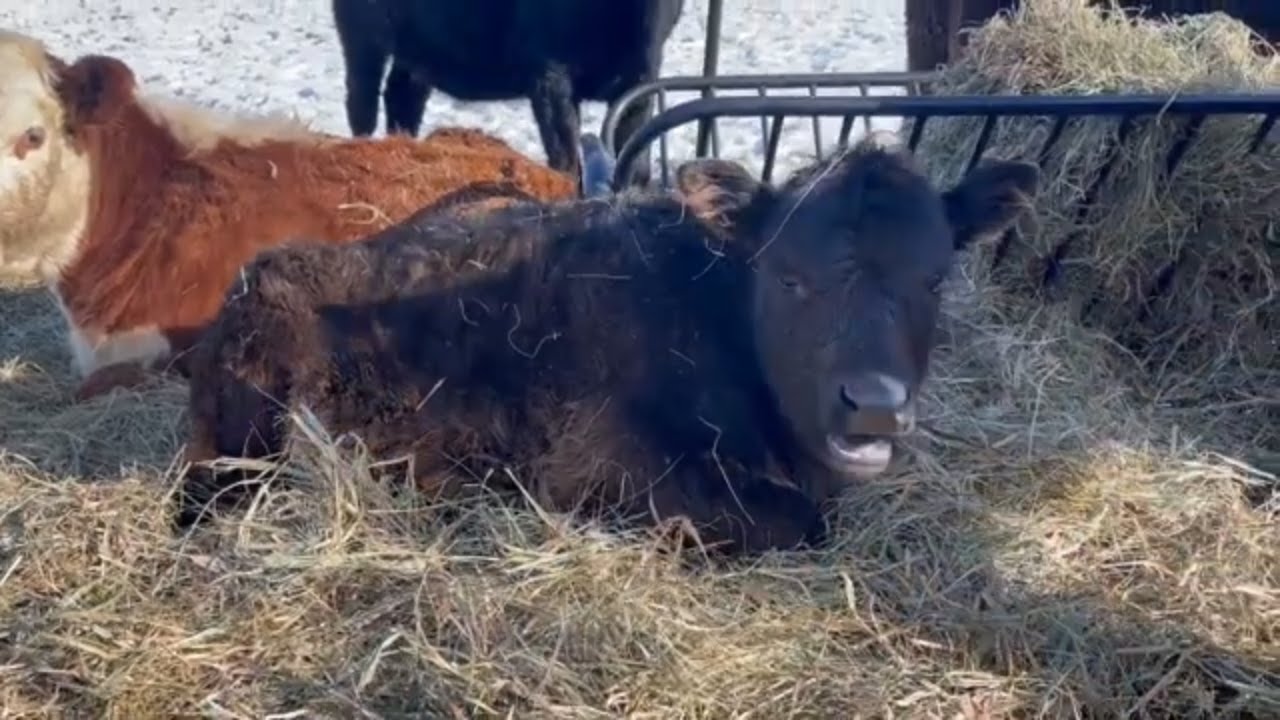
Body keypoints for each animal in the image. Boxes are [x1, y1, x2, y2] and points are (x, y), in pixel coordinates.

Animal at [331, 0, 686, 187]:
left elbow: (635, 158)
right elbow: (565, 157)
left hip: (418, 51)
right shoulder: (548, 74)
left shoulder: (642, 76)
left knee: (402, 97)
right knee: (362, 100)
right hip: (363, 34)